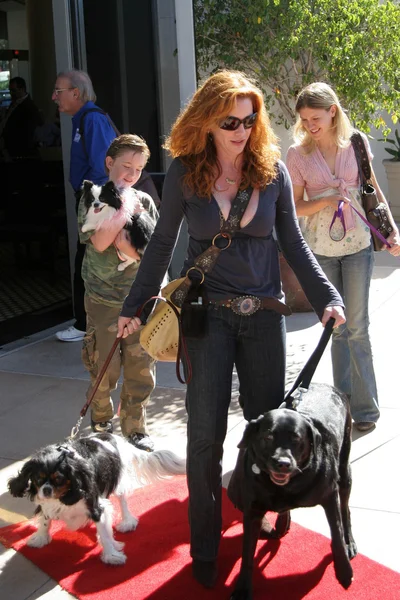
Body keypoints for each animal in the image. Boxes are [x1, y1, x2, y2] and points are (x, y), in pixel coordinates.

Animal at [7, 434, 186, 564]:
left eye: (59, 479)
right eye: (38, 478)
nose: (46, 490)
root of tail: (114, 436)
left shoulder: (95, 506)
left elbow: (104, 532)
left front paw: (111, 555)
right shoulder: (46, 503)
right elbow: (45, 520)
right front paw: (41, 538)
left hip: (117, 481)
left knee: (123, 501)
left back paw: (127, 522)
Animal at [228, 384, 356, 600]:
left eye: (296, 439)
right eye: (268, 437)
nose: (283, 463)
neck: (286, 486)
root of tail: (328, 386)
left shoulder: (330, 495)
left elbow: (337, 535)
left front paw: (344, 570)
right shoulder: (252, 512)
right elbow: (247, 554)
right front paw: (242, 587)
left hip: (344, 468)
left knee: (345, 508)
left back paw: (350, 542)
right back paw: (281, 523)